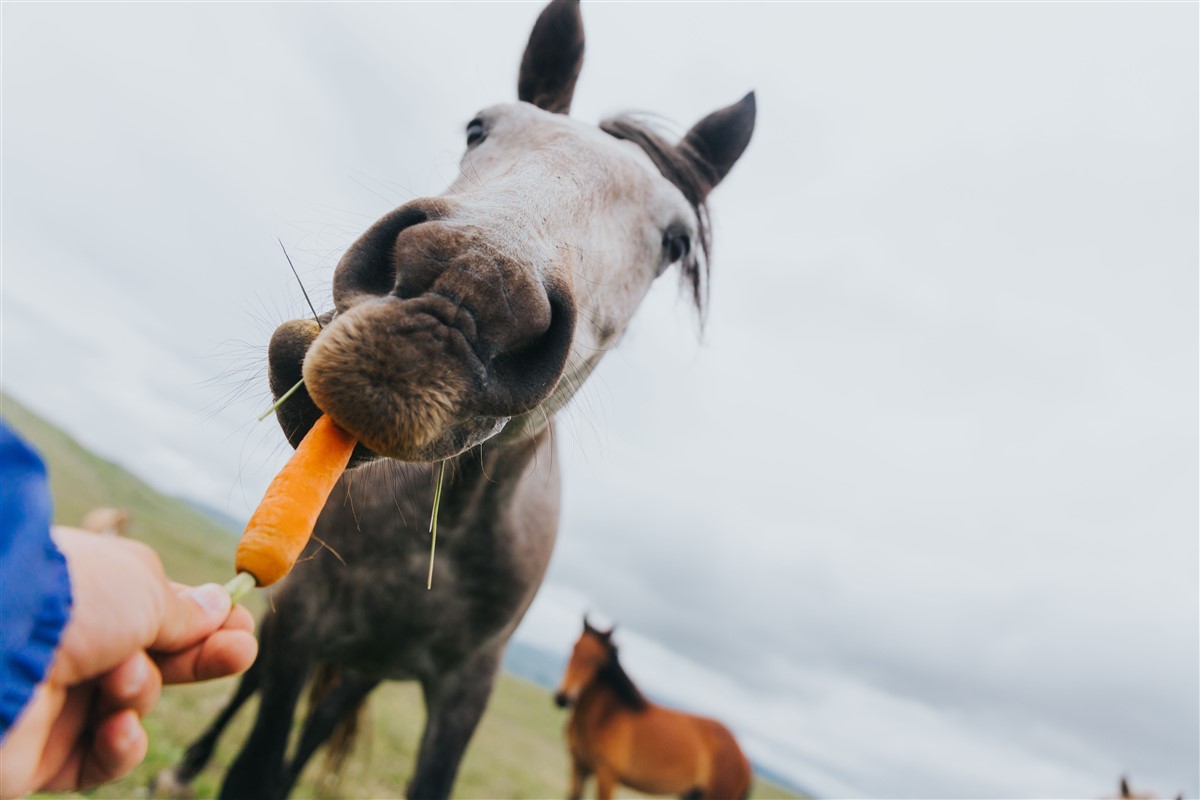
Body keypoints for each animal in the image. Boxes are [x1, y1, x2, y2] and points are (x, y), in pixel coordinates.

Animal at [554, 618, 748, 800]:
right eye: (574, 647)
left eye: (596, 659)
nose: (563, 698)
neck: (606, 717)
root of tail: (743, 760)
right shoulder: (579, 767)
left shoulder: (607, 775)